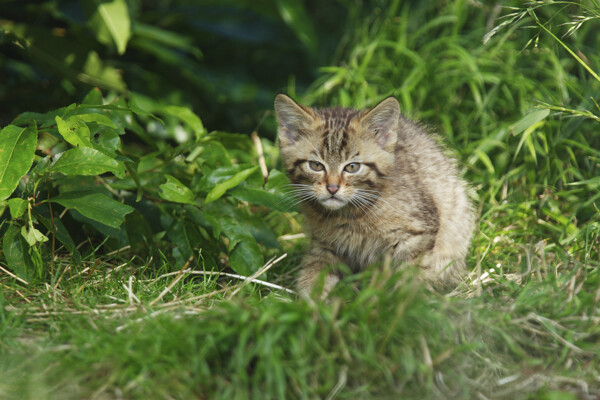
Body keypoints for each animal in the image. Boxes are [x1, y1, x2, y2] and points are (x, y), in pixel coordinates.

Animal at [274, 94, 476, 296]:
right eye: (316, 165)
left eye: (352, 167)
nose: (332, 188)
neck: (350, 214)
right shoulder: (324, 244)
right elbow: (316, 271)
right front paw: (310, 299)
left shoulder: (418, 233)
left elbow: (411, 274)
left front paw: (403, 301)